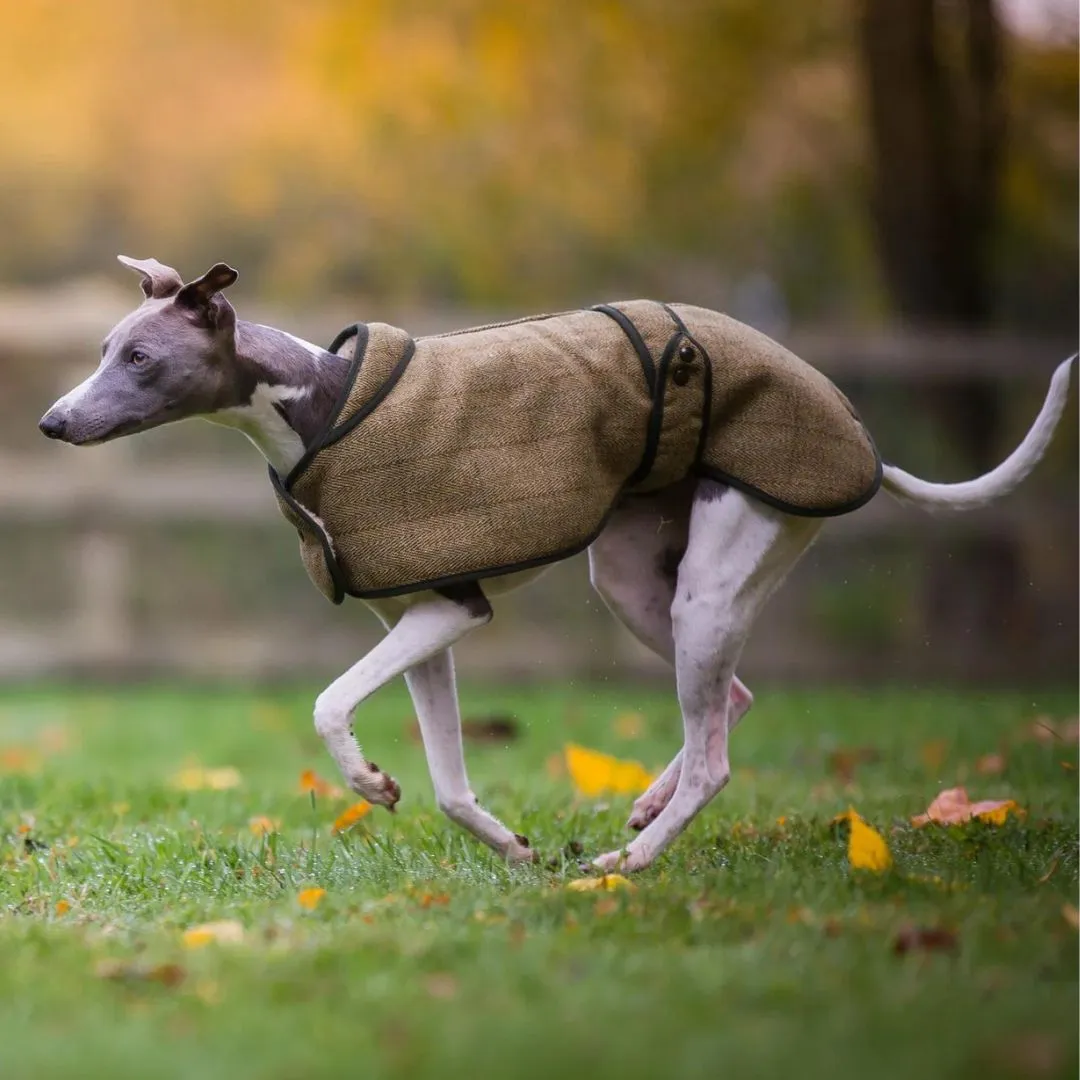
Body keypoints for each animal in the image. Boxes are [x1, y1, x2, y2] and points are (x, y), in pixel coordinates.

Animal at [35, 257, 1071, 872]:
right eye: (105, 349)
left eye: (139, 358)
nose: (50, 422)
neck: (319, 405)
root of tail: (862, 445)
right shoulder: (420, 620)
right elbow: (451, 786)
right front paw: (507, 845)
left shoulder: (452, 610)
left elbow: (329, 703)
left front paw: (366, 781)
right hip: (639, 586)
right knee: (729, 705)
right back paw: (646, 807)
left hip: (712, 583)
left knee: (715, 761)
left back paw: (633, 866)